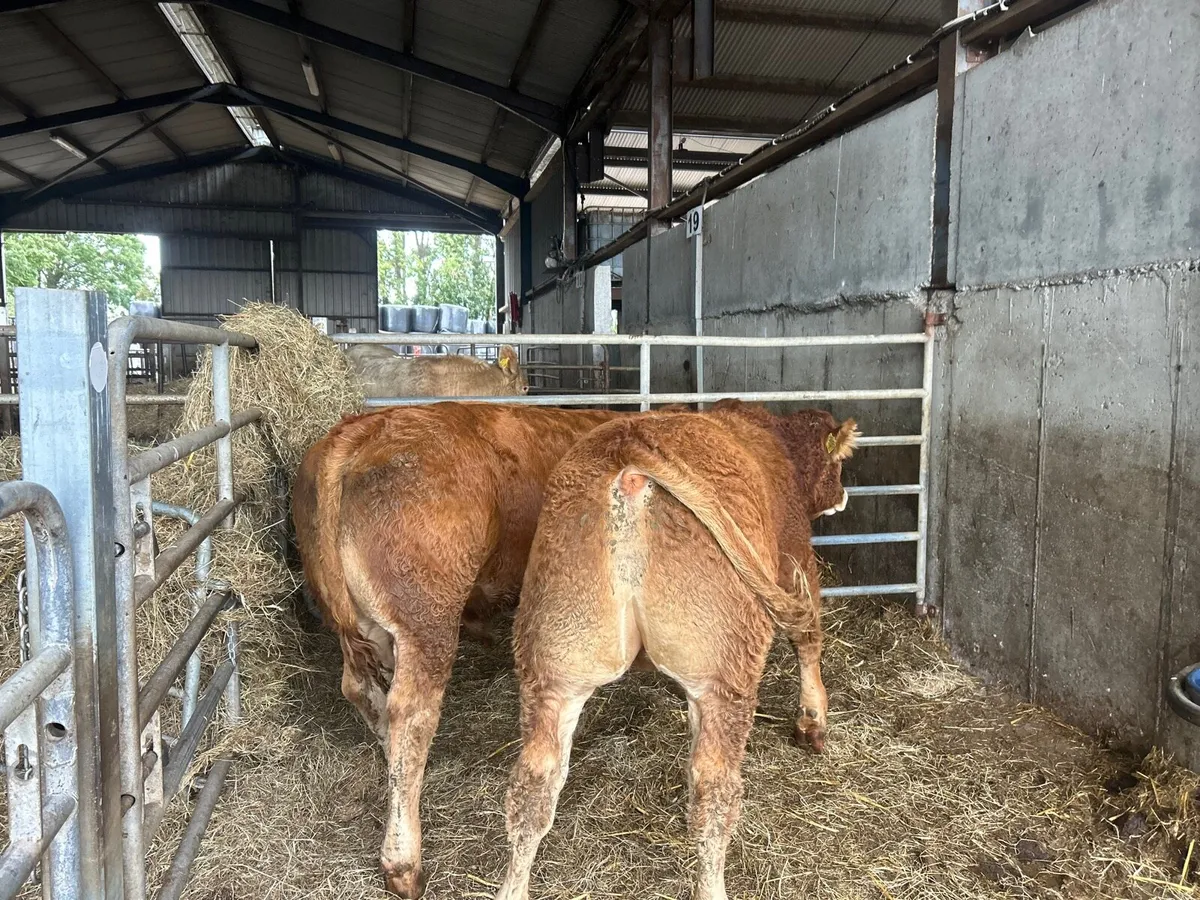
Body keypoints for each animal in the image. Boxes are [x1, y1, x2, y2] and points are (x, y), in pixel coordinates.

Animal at [292, 402, 621, 898]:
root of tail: (365, 428)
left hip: (364, 621)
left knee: (362, 691)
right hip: (427, 617)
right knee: (412, 713)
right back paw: (404, 862)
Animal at [493, 400, 858, 900]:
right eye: (836, 464)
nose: (843, 496)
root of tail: (628, 451)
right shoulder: (794, 555)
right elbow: (808, 637)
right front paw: (812, 721)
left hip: (555, 662)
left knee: (533, 787)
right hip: (727, 668)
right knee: (714, 793)